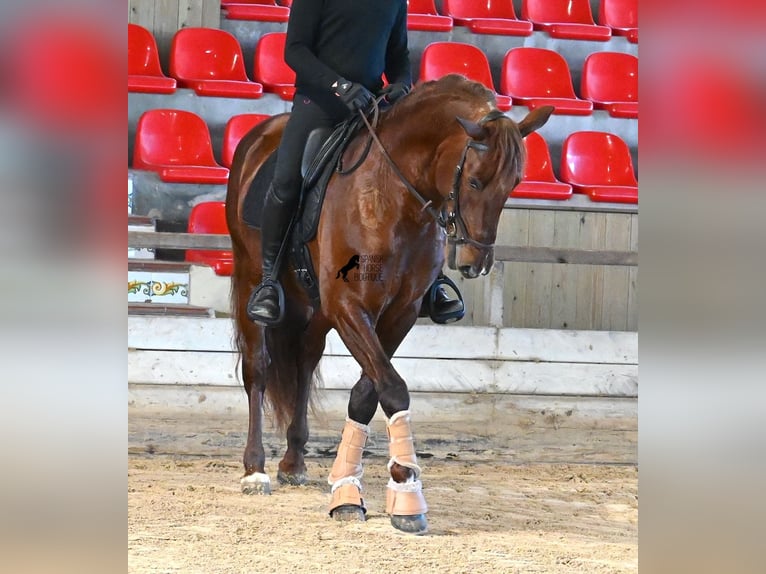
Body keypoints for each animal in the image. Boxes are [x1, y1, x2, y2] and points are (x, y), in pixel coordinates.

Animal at [225, 75, 556, 536]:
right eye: (474, 181)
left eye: (514, 183)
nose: (475, 263)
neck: (393, 195)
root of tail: (260, 134)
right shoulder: (350, 306)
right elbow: (393, 388)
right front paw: (400, 493)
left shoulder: (400, 313)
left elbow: (369, 392)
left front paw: (359, 487)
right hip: (253, 277)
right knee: (258, 369)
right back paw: (255, 470)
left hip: (315, 308)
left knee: (304, 365)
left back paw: (293, 462)